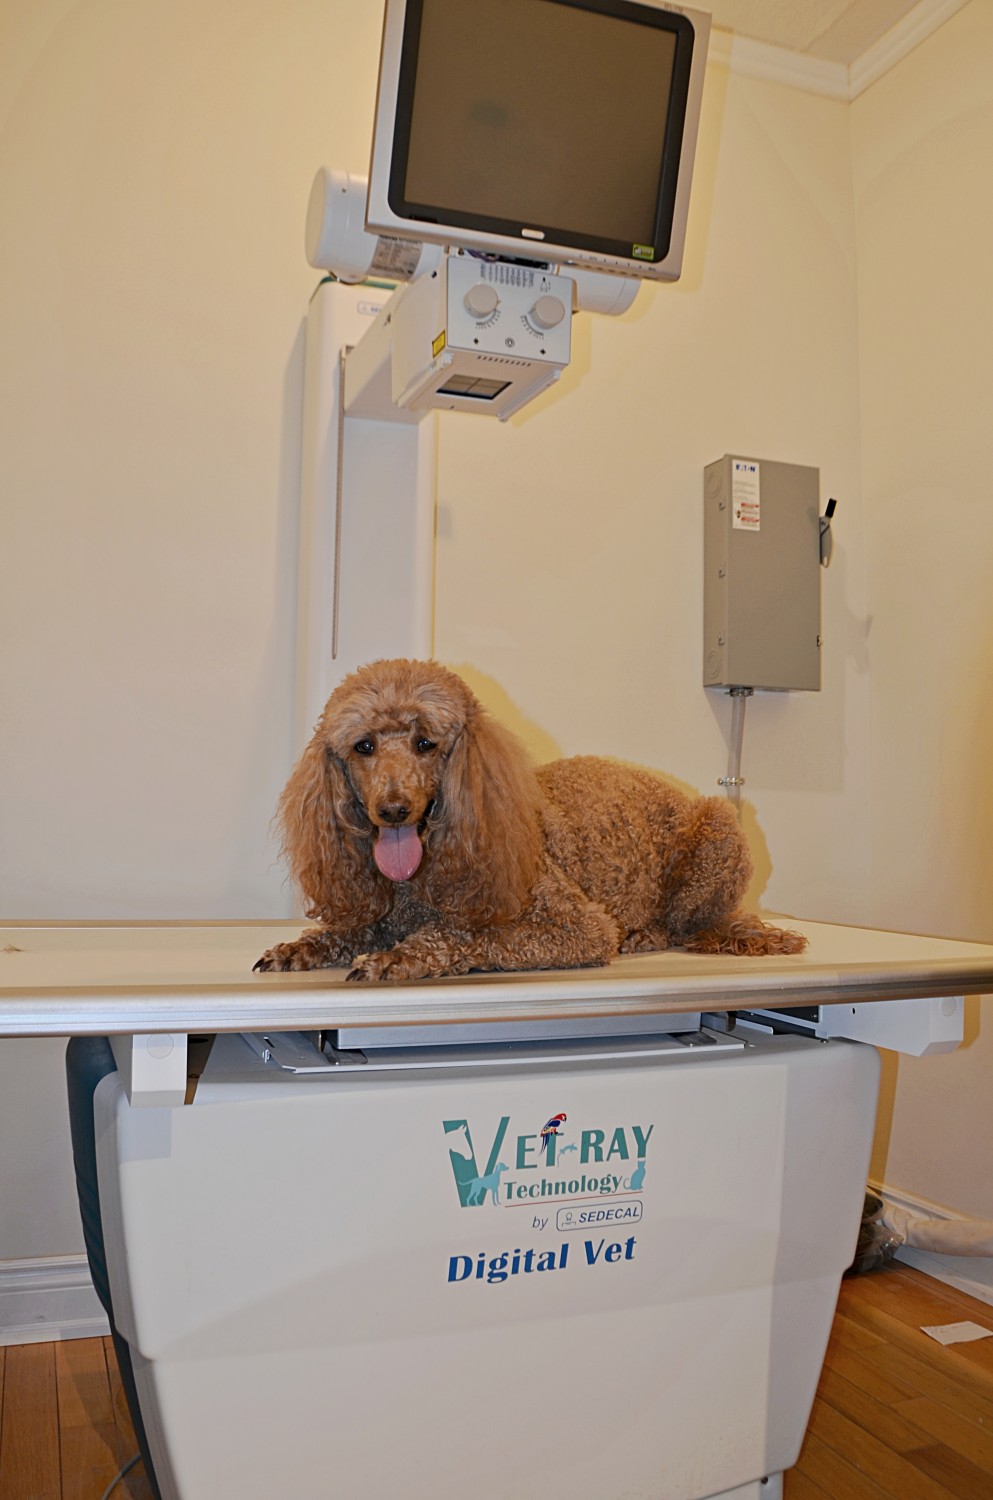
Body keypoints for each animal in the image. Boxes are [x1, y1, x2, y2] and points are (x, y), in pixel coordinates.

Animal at [256, 657, 810, 984]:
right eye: (363, 747)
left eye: (426, 743)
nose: (393, 810)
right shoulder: (376, 912)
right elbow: (346, 931)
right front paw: (301, 947)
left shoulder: (574, 927)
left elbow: (469, 936)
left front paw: (400, 957)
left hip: (718, 835)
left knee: (684, 926)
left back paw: (643, 935)